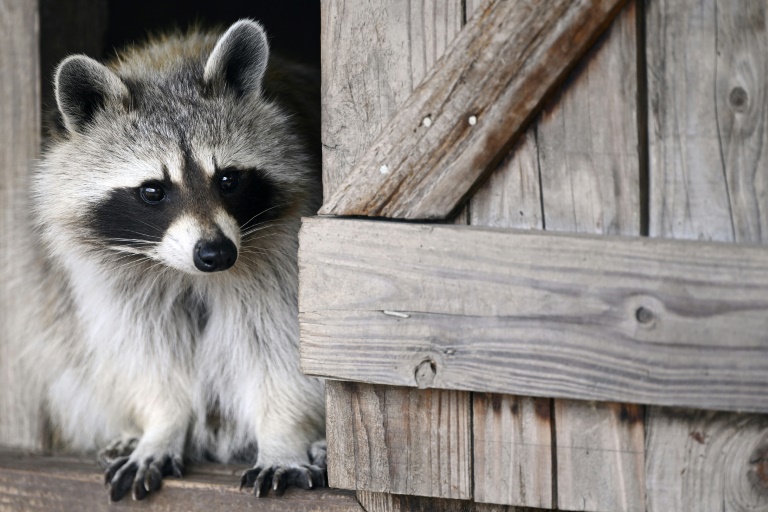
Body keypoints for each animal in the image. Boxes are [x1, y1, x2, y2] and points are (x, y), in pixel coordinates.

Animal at [26, 19, 324, 500]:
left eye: (228, 180)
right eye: (152, 191)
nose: (216, 253)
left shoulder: (282, 257)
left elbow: (280, 349)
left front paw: (284, 434)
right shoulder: (115, 280)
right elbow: (148, 352)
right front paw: (161, 424)